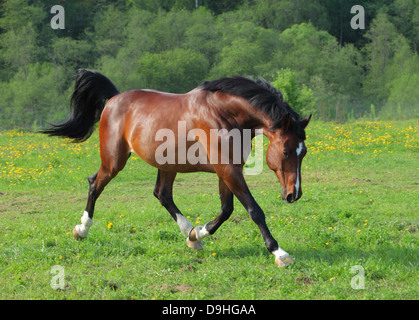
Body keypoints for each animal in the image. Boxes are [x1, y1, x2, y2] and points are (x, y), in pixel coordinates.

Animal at [43, 69, 312, 268]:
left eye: (304, 152)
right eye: (286, 151)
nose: (293, 194)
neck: (223, 114)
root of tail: (113, 99)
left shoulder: (228, 169)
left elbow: (226, 210)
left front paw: (197, 234)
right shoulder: (227, 169)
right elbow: (254, 210)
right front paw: (279, 252)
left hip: (167, 164)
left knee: (162, 194)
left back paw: (188, 231)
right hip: (114, 161)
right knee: (95, 184)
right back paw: (81, 229)